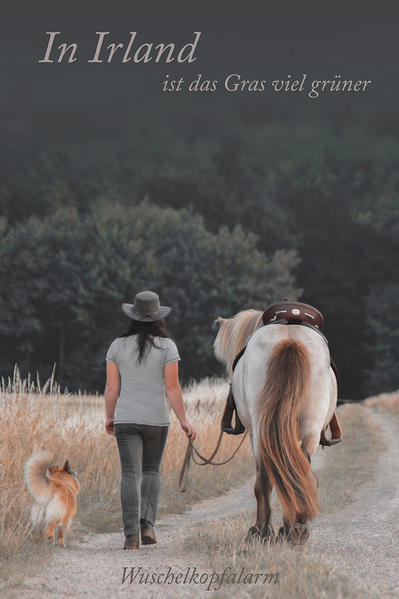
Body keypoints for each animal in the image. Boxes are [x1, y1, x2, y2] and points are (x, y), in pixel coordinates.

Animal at [216, 312, 338, 548]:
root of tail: (290, 340)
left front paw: (264, 530)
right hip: (310, 428)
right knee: (298, 470)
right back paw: (296, 528)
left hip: (260, 432)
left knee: (267, 478)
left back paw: (265, 530)